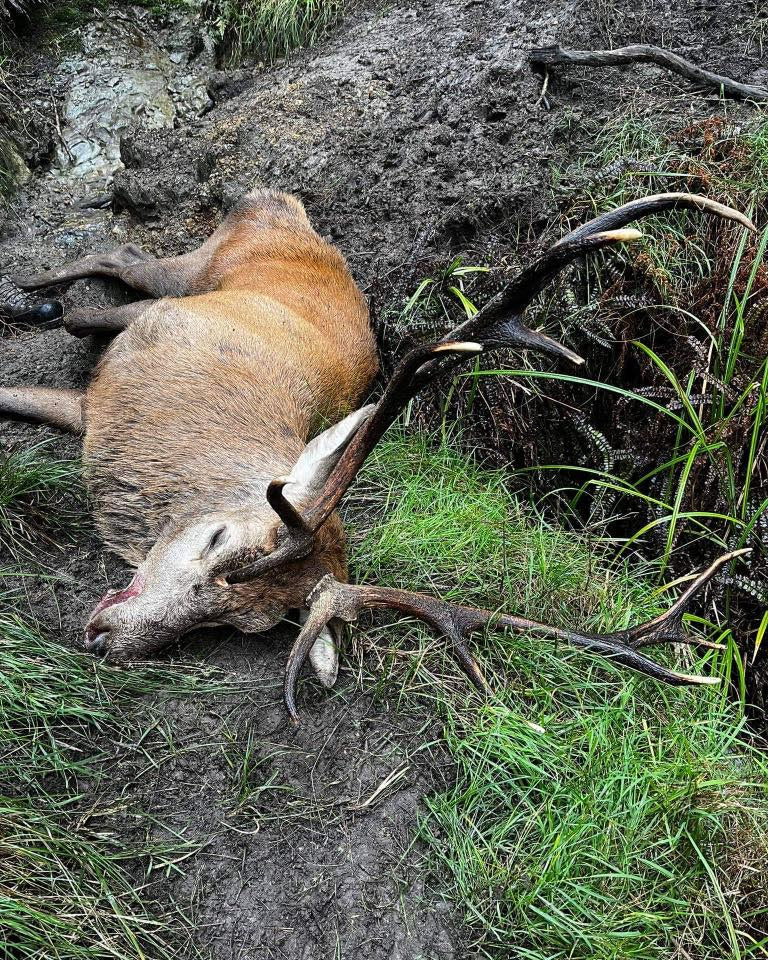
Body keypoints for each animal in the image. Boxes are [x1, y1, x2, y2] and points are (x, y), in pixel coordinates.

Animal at [0, 188, 753, 720]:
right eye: (215, 540)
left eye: (243, 624)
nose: (106, 637)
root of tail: (289, 208)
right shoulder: (102, 400)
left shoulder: (91, 413)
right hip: (199, 272)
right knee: (119, 269)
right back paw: (39, 295)